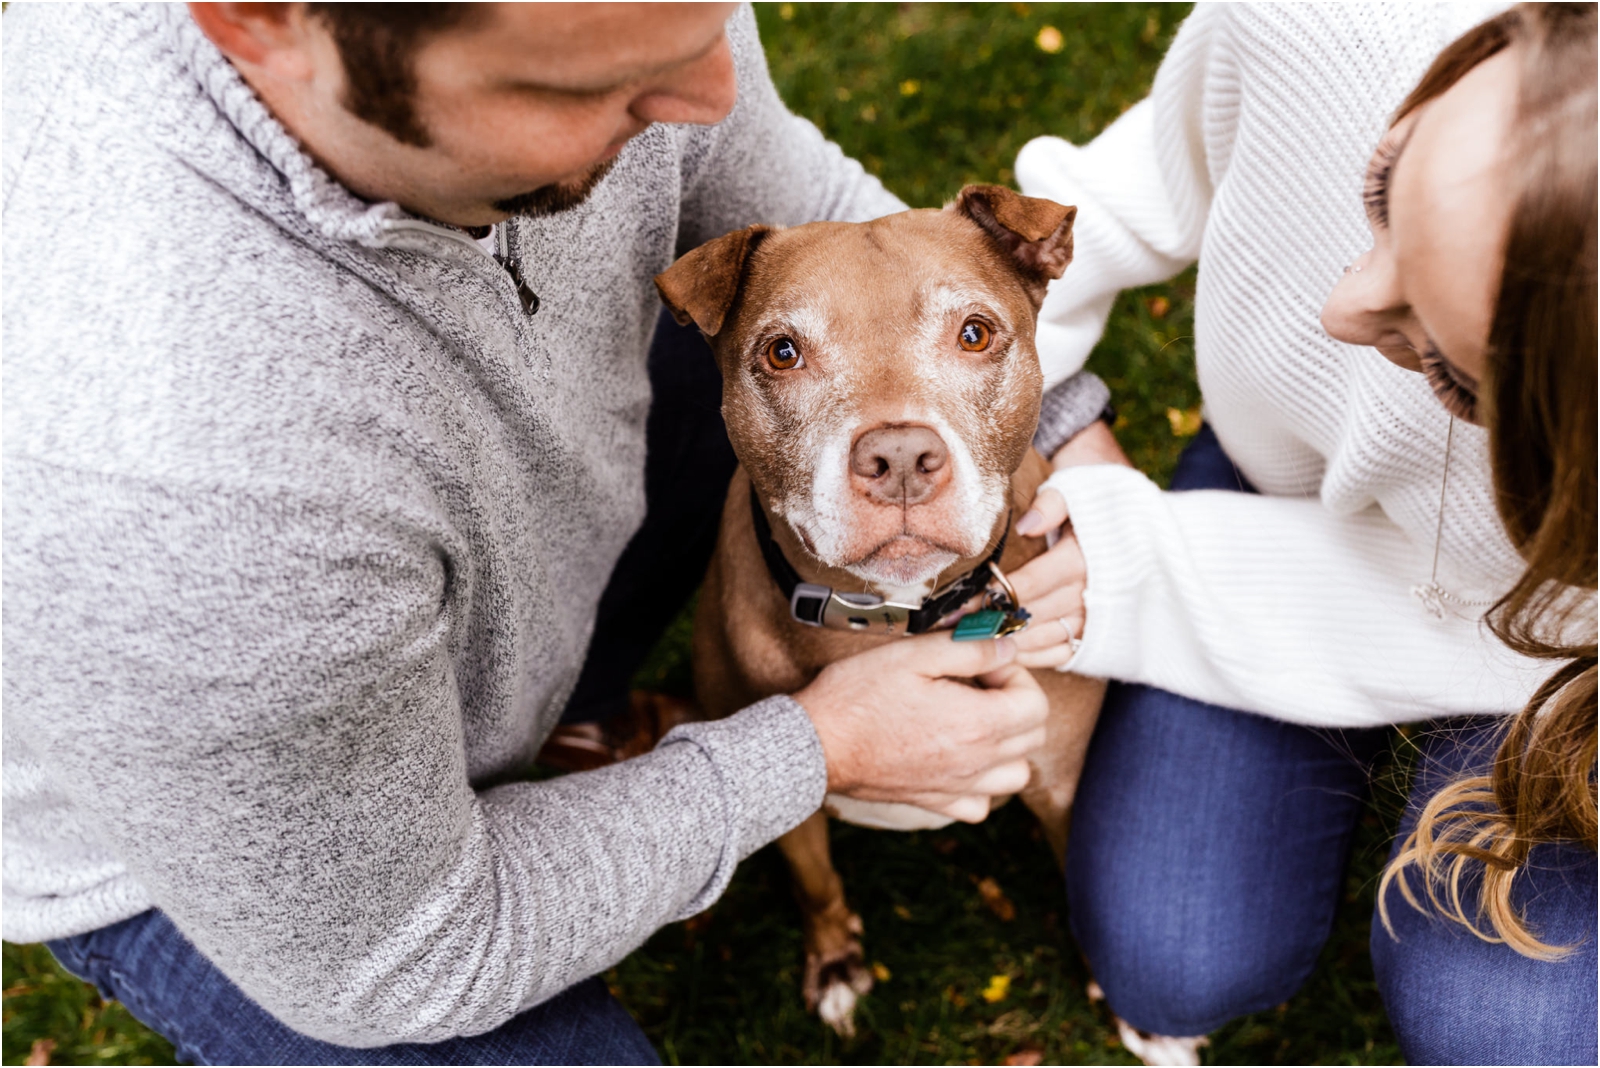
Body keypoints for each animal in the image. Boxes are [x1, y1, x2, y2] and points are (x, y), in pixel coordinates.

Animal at [656, 183, 1107, 1036]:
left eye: (975, 333)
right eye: (783, 352)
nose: (899, 458)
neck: (890, 621)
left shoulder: (1064, 786)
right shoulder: (791, 804)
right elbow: (818, 886)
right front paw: (836, 964)